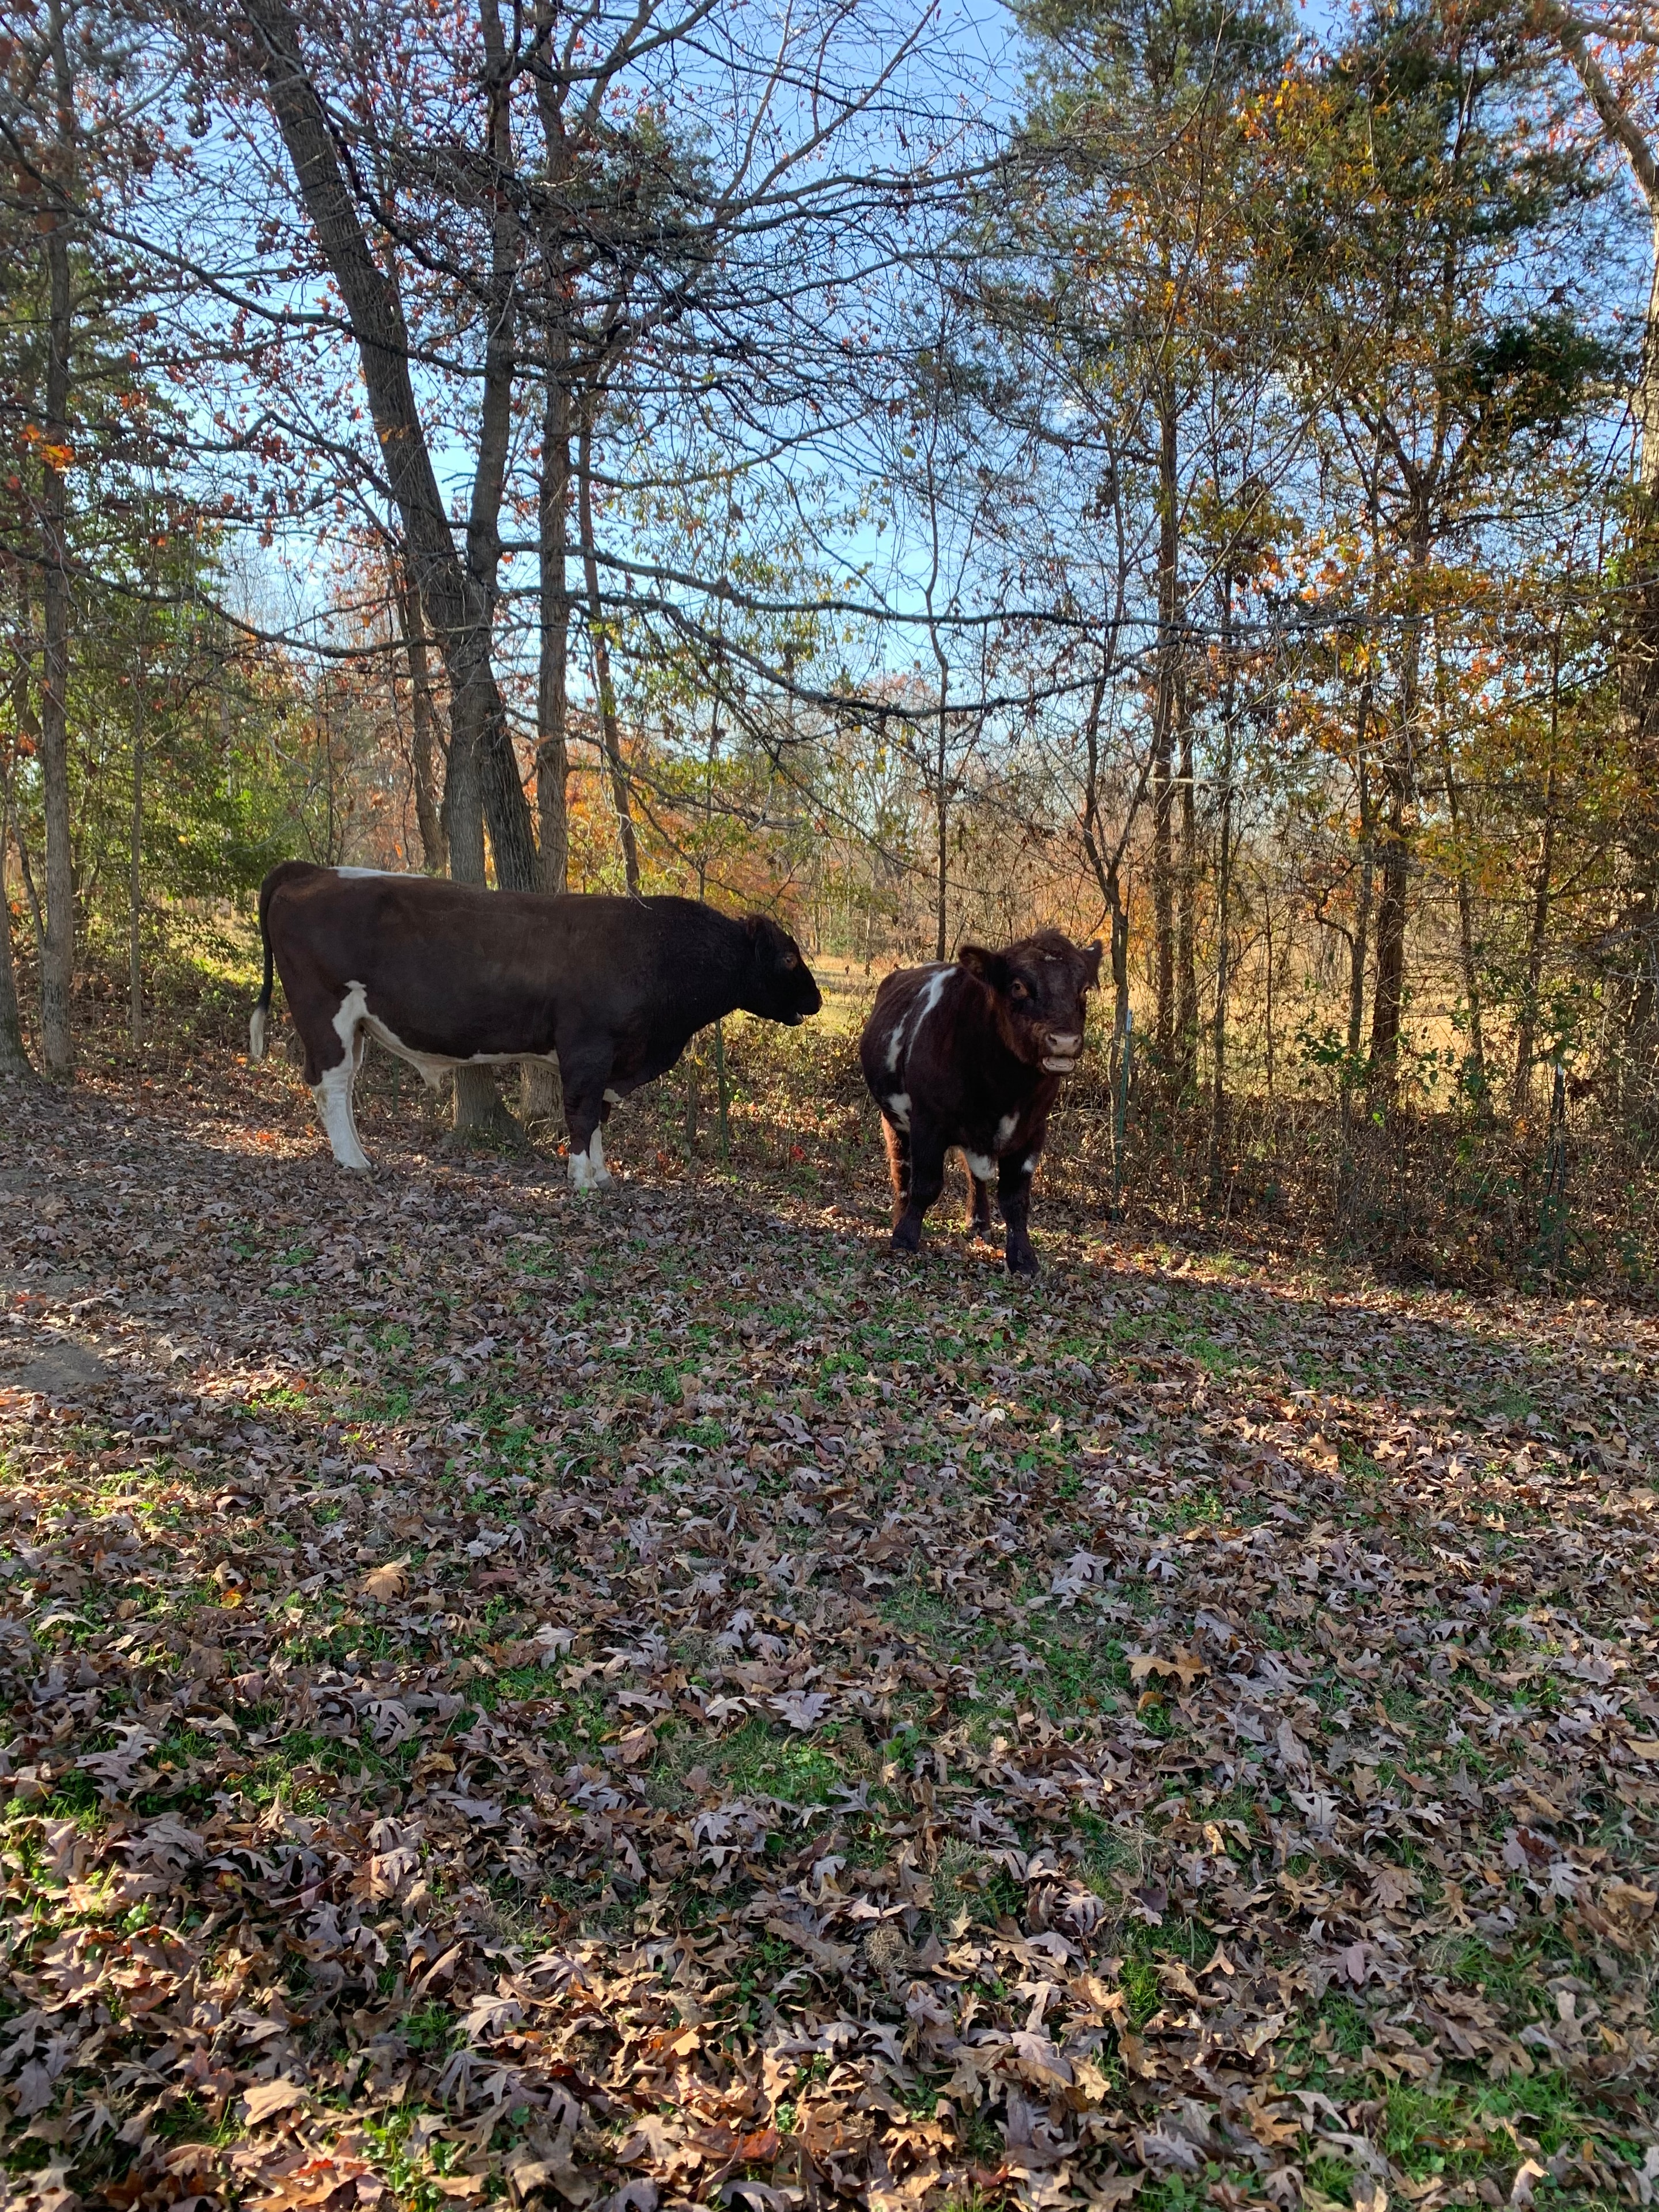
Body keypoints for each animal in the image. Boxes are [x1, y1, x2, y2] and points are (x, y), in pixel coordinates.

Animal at [249, 861, 822, 1182]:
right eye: (789, 957)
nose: (817, 999)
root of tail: (311, 871)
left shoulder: (610, 1058)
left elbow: (599, 1116)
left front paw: (602, 1173)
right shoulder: (588, 1047)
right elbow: (582, 1112)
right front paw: (582, 1178)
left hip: (357, 1025)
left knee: (341, 1086)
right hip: (325, 1013)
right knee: (330, 1083)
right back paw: (354, 1161)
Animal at [859, 930, 1101, 1276]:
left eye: (1083, 989)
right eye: (1018, 986)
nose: (1065, 1042)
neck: (1004, 1090)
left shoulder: (1033, 1131)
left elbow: (1015, 1200)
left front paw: (1023, 1258)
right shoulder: (928, 1121)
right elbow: (926, 1184)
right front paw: (905, 1237)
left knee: (976, 1175)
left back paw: (978, 1222)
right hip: (893, 1118)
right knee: (902, 1168)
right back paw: (902, 1213)